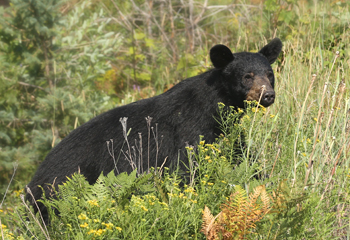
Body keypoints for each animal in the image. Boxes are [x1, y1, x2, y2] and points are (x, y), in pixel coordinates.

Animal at [25, 38, 282, 223]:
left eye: (270, 74)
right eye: (247, 76)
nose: (268, 95)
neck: (215, 105)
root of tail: (34, 177)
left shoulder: (225, 132)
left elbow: (243, 156)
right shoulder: (188, 130)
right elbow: (186, 168)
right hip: (61, 187)